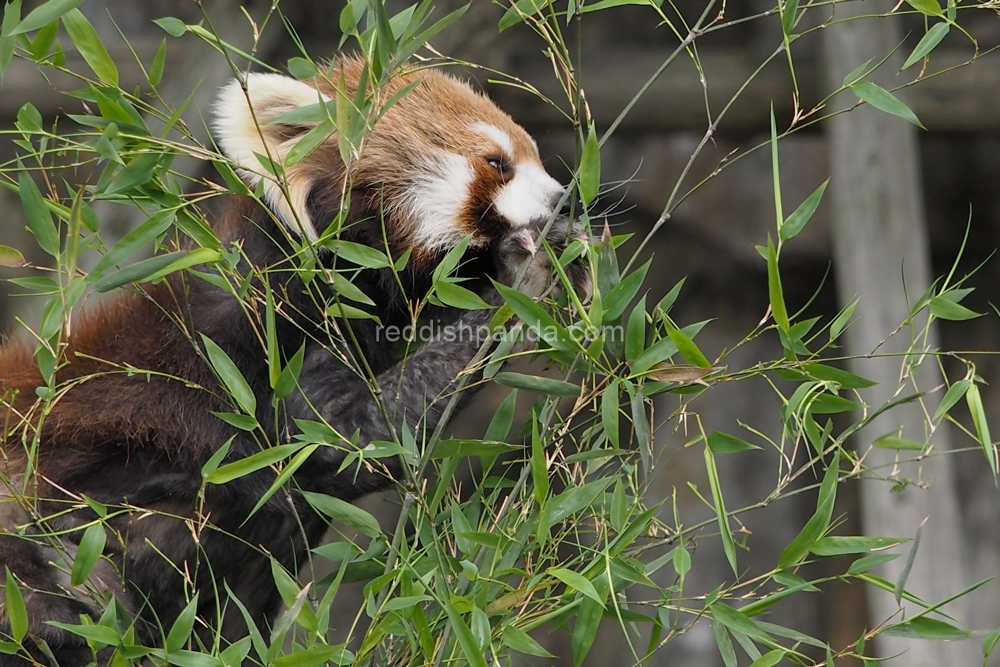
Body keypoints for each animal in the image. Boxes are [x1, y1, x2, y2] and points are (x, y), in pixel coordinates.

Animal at [0, 58, 584, 667]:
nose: (568, 202)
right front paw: (529, 271)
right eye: (496, 163)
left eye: (535, 157)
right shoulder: (263, 347)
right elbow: (336, 440)